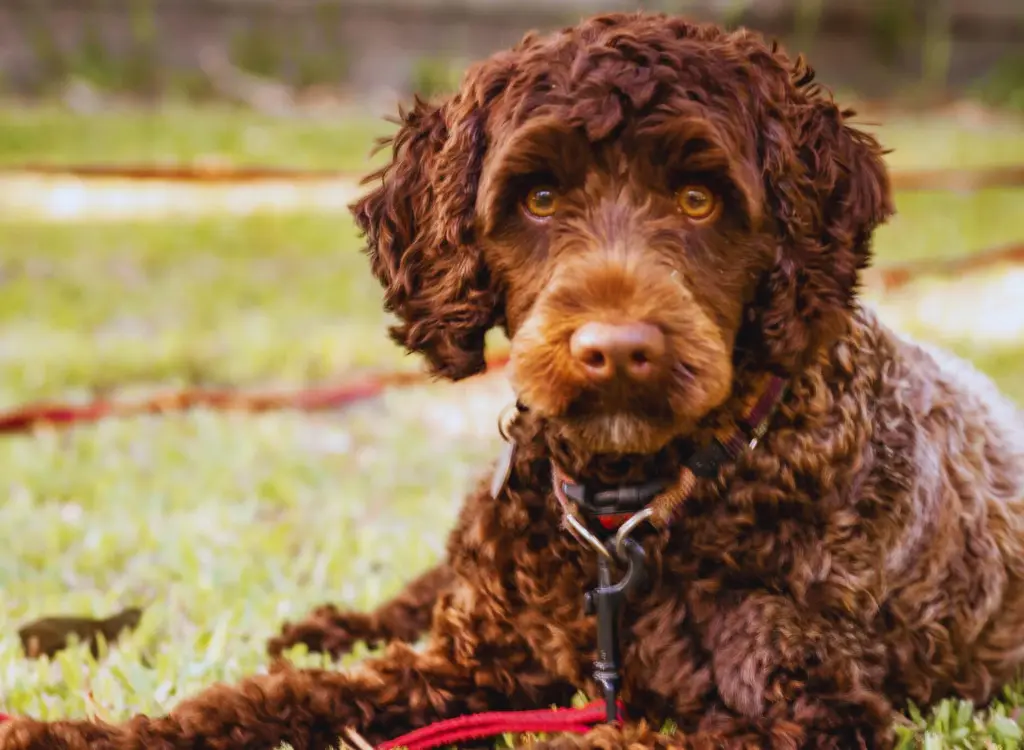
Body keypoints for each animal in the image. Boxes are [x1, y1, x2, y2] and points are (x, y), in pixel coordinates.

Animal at [4, 11, 1019, 750]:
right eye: (538, 197)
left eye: (699, 199)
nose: (616, 348)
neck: (634, 510)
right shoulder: (471, 667)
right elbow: (260, 703)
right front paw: (82, 733)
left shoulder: (805, 711)